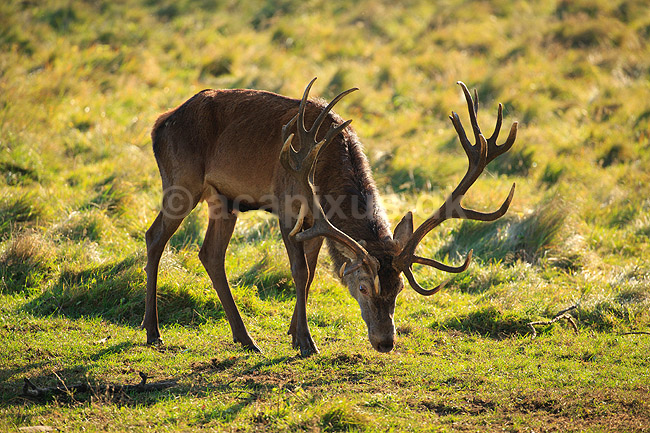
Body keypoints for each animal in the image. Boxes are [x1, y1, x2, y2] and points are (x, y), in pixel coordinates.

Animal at [142, 78, 517, 356]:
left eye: (398, 289)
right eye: (363, 286)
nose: (385, 342)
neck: (326, 171)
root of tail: (159, 123)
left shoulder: (317, 227)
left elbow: (309, 276)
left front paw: (294, 333)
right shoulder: (289, 208)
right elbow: (299, 271)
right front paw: (307, 343)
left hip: (223, 199)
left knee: (210, 253)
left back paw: (245, 339)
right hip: (181, 180)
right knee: (154, 236)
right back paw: (153, 331)